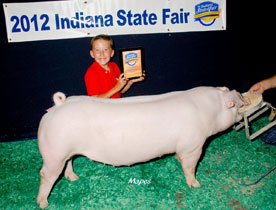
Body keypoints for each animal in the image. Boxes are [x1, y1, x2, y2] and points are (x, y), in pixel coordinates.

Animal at [36, 86, 248, 208]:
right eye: (238, 104)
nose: (246, 97)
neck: (210, 109)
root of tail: (58, 106)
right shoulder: (193, 146)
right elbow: (190, 166)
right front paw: (196, 185)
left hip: (66, 152)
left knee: (68, 164)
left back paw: (74, 178)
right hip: (54, 153)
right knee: (45, 175)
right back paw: (43, 203)